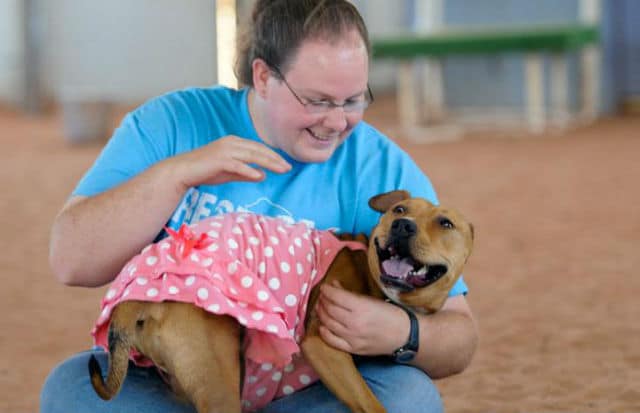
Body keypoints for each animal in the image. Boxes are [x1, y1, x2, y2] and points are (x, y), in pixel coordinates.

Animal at [87, 190, 472, 412]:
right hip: (220, 386)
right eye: (400, 209)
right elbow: (372, 406)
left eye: (445, 223)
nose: (403, 226)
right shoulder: (322, 347)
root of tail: (134, 299)